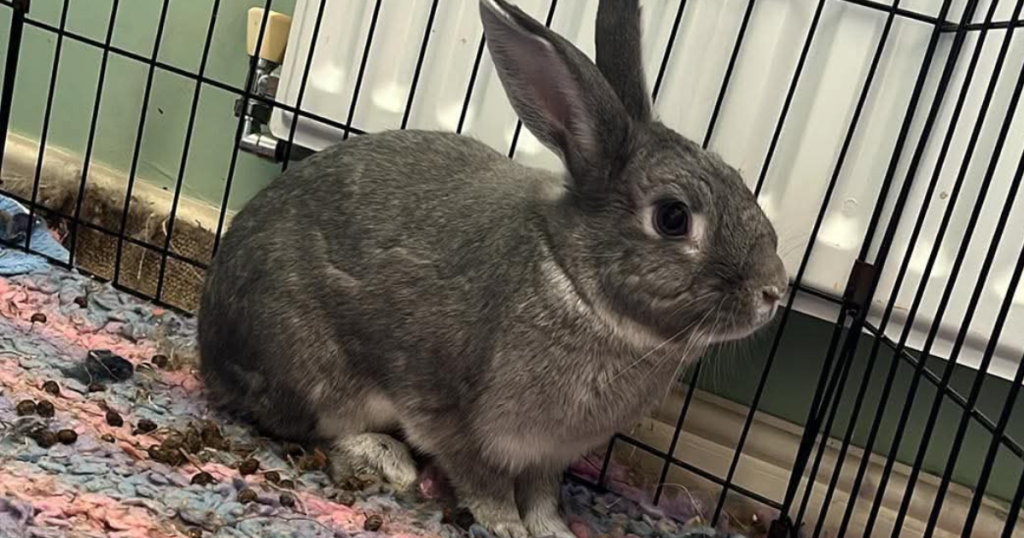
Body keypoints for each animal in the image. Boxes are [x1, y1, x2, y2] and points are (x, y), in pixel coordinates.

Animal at [197, 0, 788, 537]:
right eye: (672, 218)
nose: (774, 291)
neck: (574, 282)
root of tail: (209, 354)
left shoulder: (548, 455)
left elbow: (542, 494)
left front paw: (552, 530)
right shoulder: (452, 417)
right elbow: (484, 481)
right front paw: (507, 526)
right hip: (309, 368)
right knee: (306, 424)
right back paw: (387, 459)